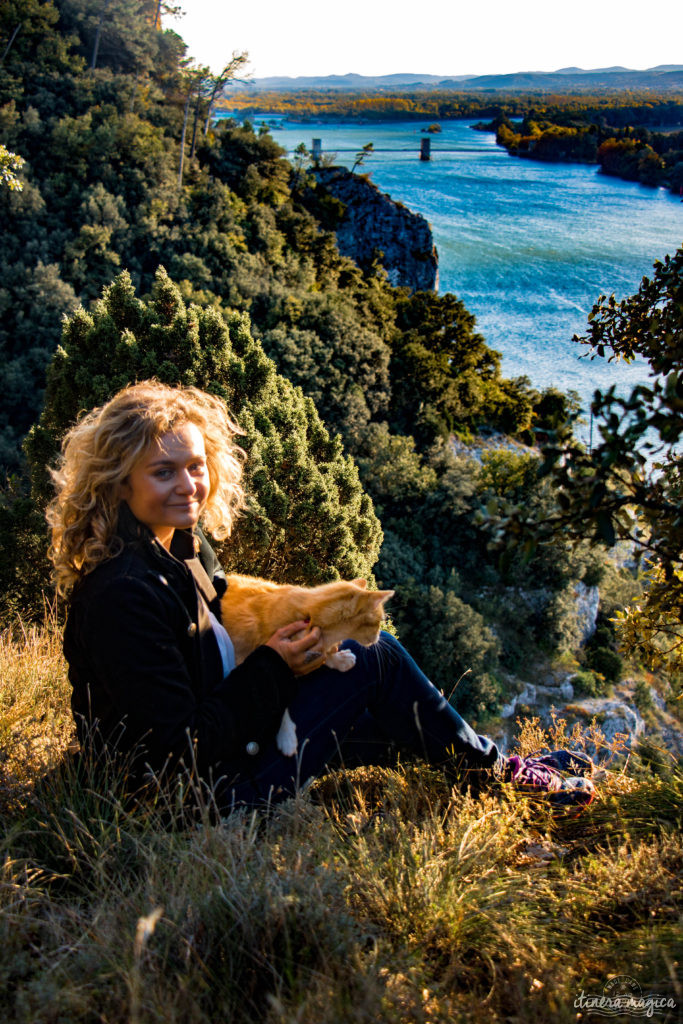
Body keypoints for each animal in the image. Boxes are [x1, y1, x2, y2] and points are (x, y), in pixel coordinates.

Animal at [222, 577, 395, 753]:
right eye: (378, 623)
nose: (378, 636)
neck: (309, 615)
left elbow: (325, 652)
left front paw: (339, 659)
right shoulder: (247, 659)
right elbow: (275, 688)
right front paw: (286, 734)